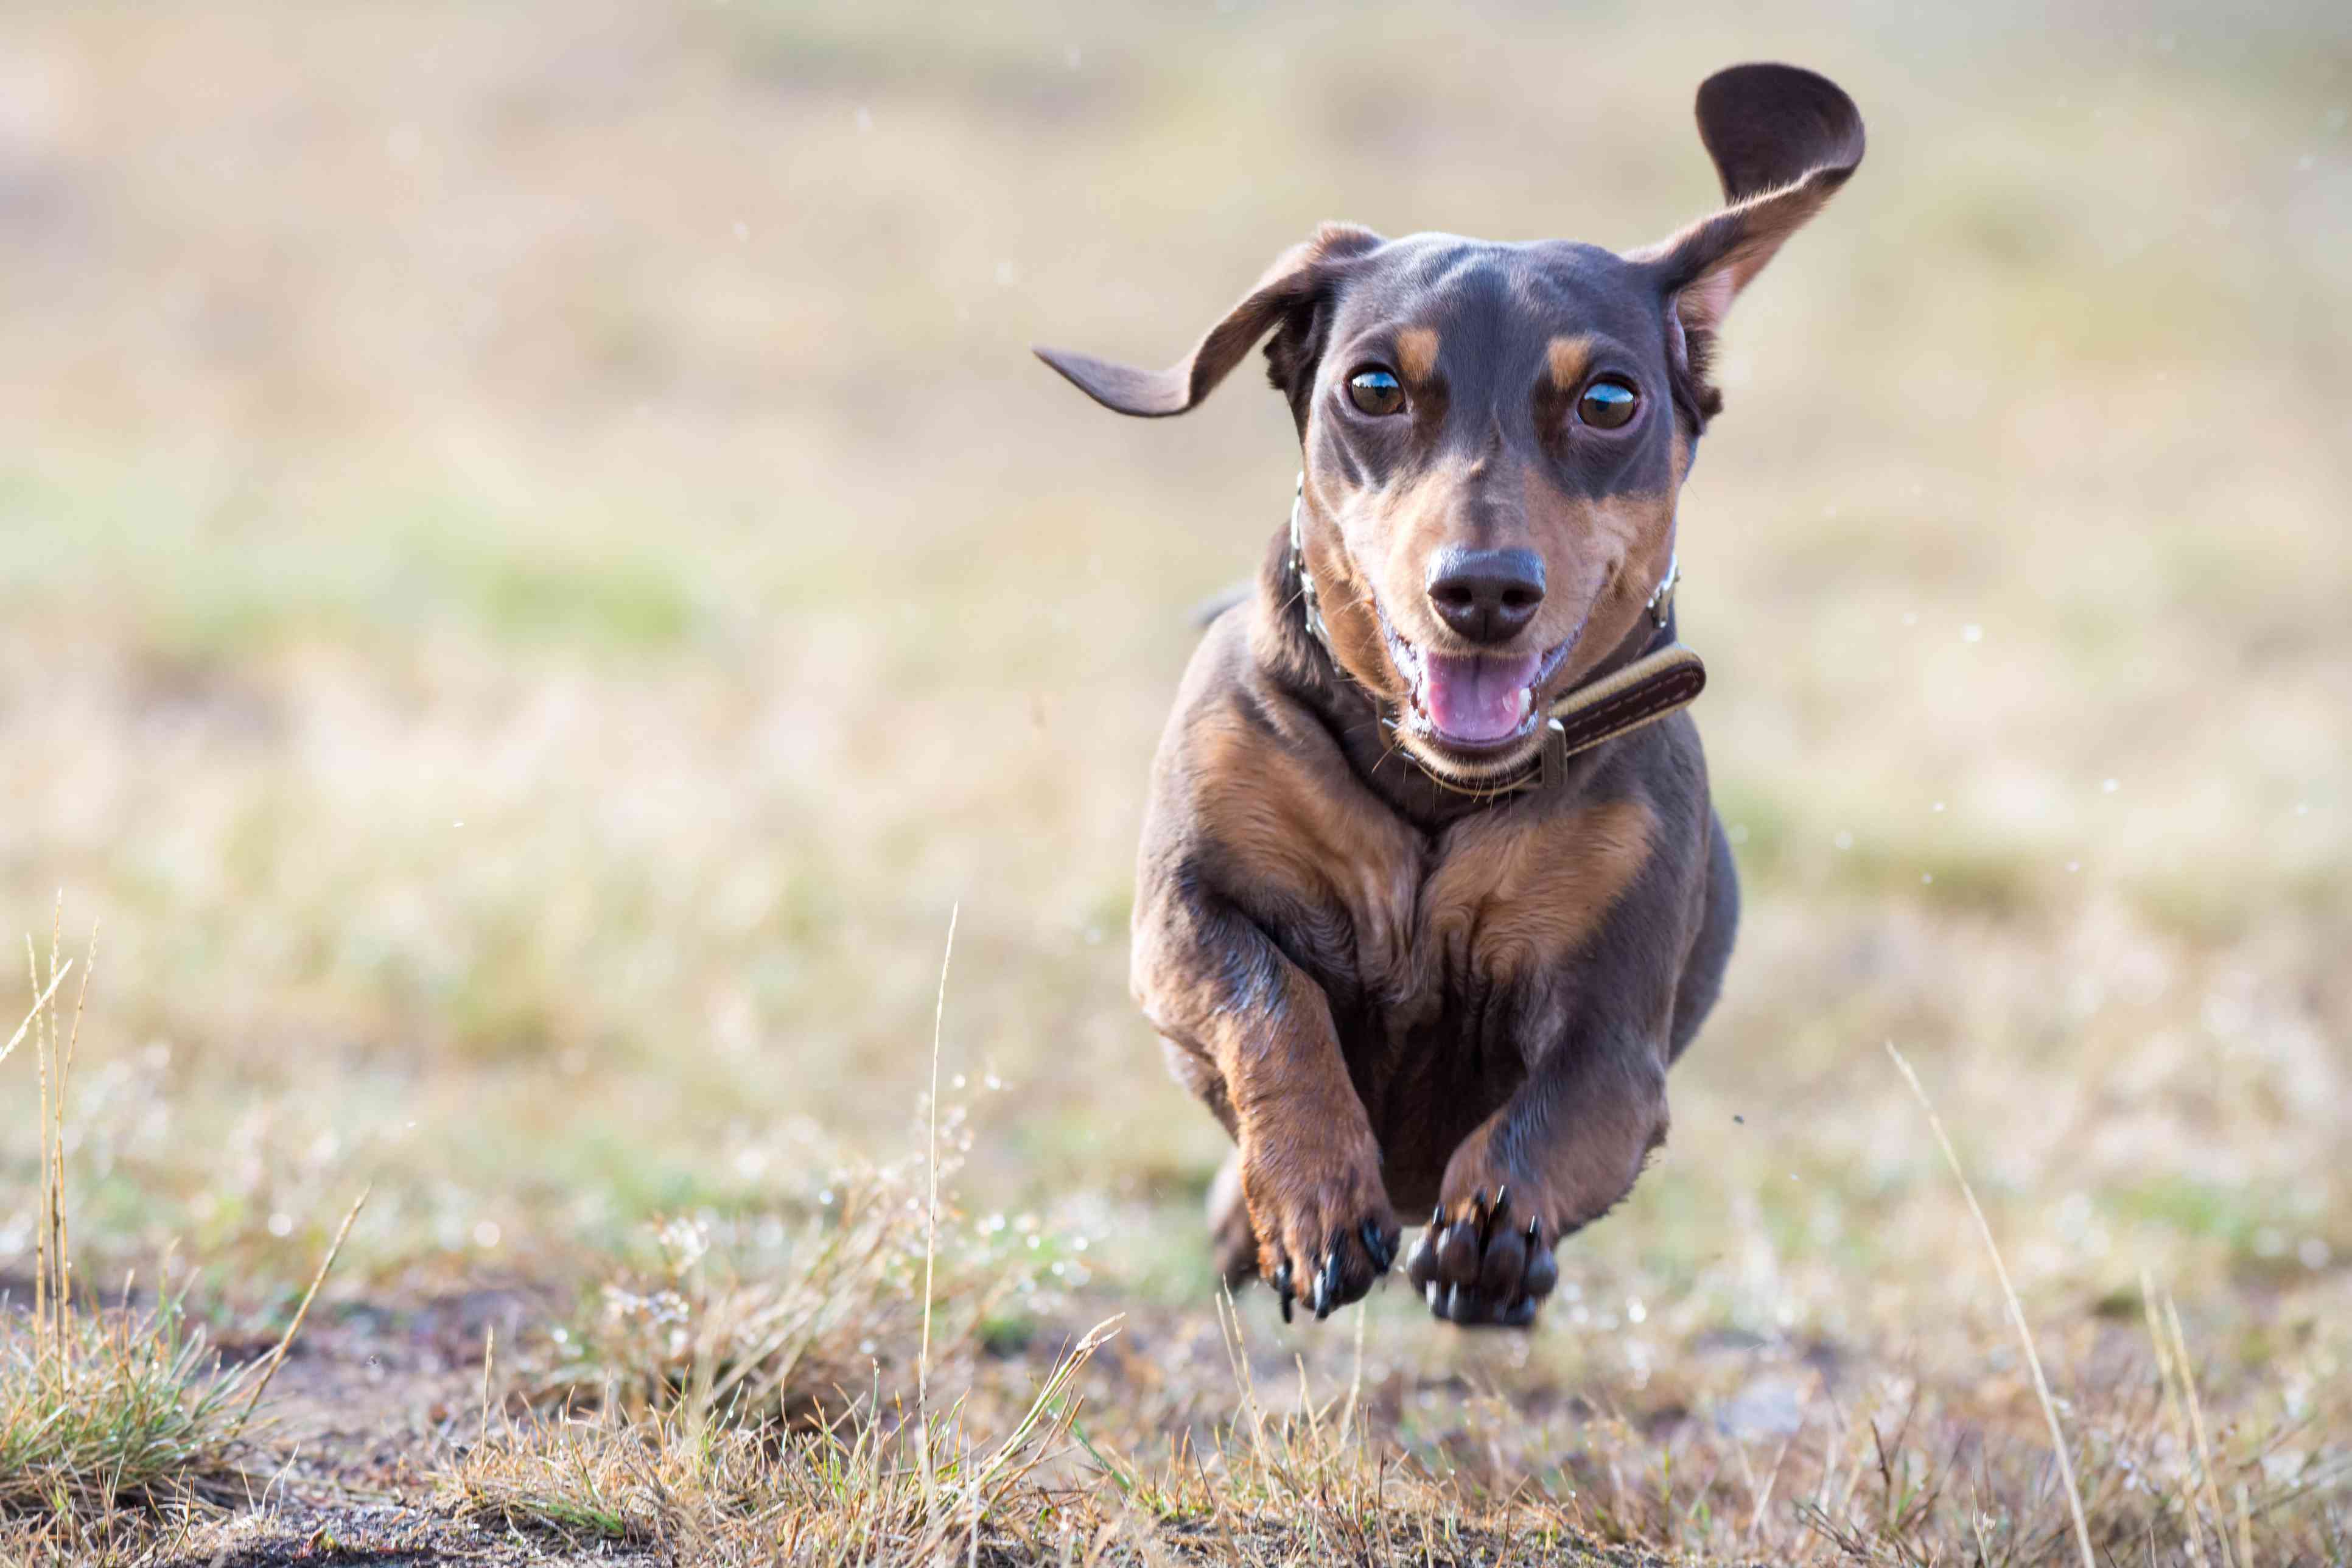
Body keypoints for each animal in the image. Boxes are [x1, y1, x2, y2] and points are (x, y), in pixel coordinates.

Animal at [1039, 68, 1863, 1335]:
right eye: (1372, 385)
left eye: (1608, 399)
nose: (1481, 590)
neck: (1430, 785)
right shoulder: (1180, 921)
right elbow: (1270, 1005)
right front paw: (1311, 1198)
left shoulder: (1616, 1032)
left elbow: (1558, 1114)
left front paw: (1493, 1237)